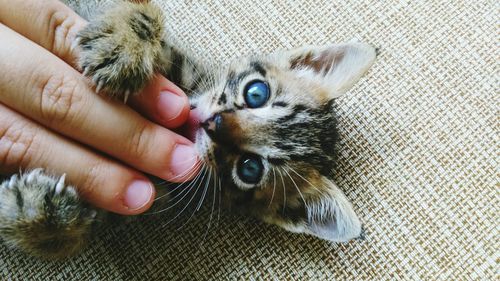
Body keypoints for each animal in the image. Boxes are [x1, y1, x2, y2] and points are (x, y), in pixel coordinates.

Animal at [0, 0, 376, 258]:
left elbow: (83, 229)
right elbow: (142, 11)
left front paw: (35, 215)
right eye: (256, 93)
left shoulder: (143, 195)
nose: (214, 124)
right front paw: (123, 44)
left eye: (250, 169)